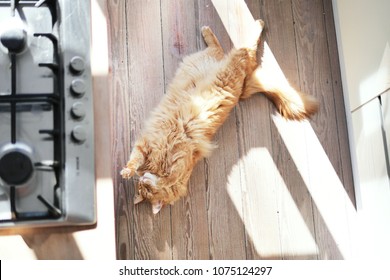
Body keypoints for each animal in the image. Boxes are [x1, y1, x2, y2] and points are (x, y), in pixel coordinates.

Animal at [121, 20, 316, 214]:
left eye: (147, 189)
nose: (143, 180)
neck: (158, 162)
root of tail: (242, 90)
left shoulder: (172, 155)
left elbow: (163, 174)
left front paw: (130, 173)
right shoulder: (146, 145)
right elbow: (136, 160)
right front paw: (130, 172)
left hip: (233, 63)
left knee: (243, 47)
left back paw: (250, 24)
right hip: (226, 62)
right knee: (227, 49)